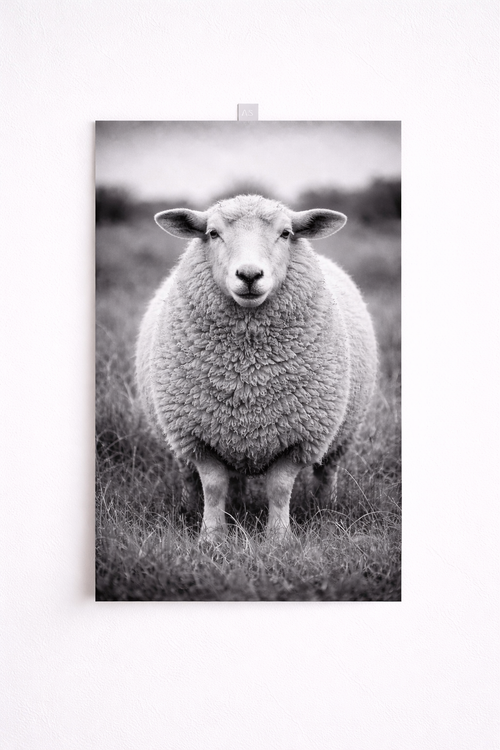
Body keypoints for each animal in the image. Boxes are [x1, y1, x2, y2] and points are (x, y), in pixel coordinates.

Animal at [136, 194, 377, 540]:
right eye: (212, 233)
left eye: (286, 233)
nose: (249, 275)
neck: (249, 372)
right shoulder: (197, 437)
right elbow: (213, 485)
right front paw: (212, 536)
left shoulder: (299, 438)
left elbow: (279, 488)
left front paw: (278, 538)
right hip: (187, 438)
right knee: (195, 478)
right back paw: (192, 508)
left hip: (341, 436)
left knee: (326, 471)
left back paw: (326, 510)